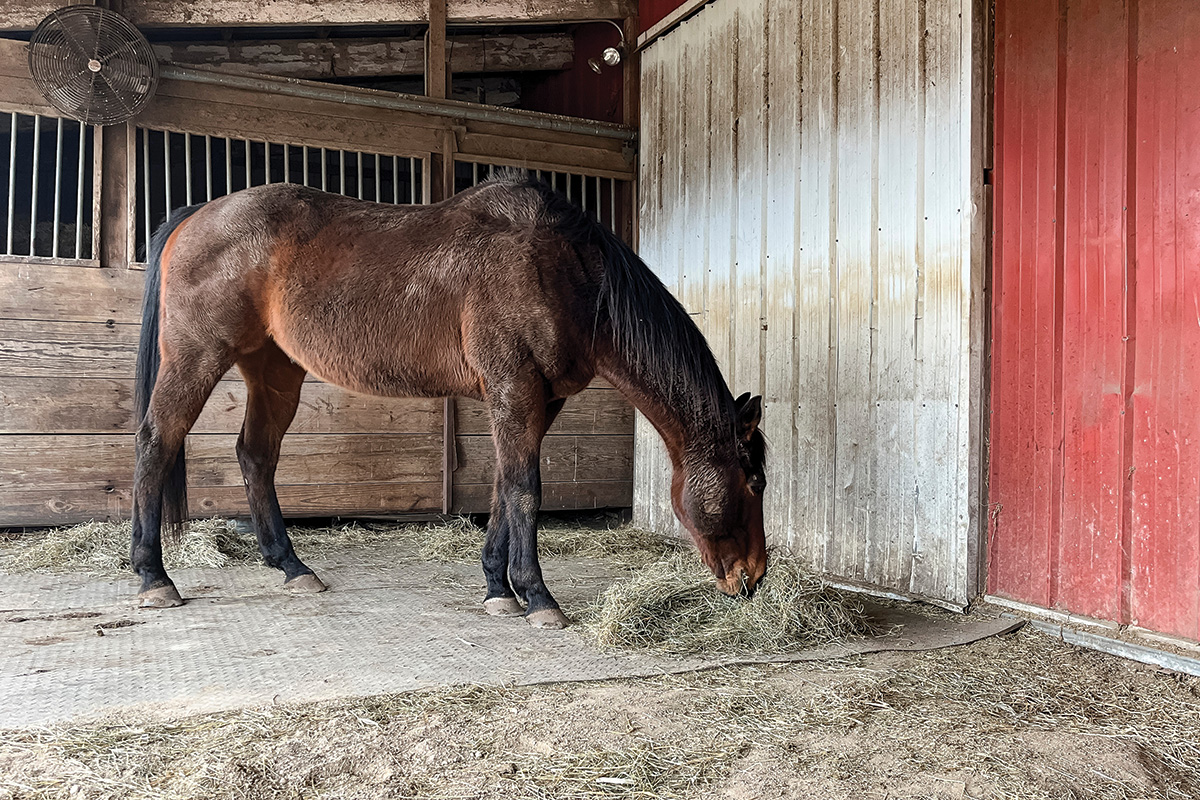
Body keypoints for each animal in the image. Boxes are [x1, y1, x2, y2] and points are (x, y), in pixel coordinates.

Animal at [133, 172, 768, 628]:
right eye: (754, 482)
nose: (753, 578)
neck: (565, 271)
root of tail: (197, 215)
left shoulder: (538, 400)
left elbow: (504, 487)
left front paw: (498, 589)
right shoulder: (514, 386)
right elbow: (526, 488)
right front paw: (539, 599)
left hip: (273, 370)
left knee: (255, 455)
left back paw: (292, 567)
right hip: (196, 356)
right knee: (156, 442)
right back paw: (153, 578)